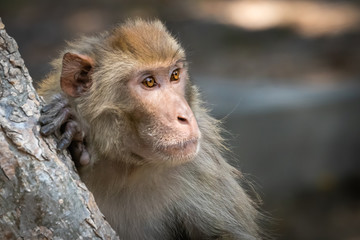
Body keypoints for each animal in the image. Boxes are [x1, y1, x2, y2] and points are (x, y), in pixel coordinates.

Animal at [37, 19, 262, 240]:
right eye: (149, 82)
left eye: (175, 75)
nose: (185, 116)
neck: (124, 166)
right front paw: (76, 135)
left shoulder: (201, 166)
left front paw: (75, 131)